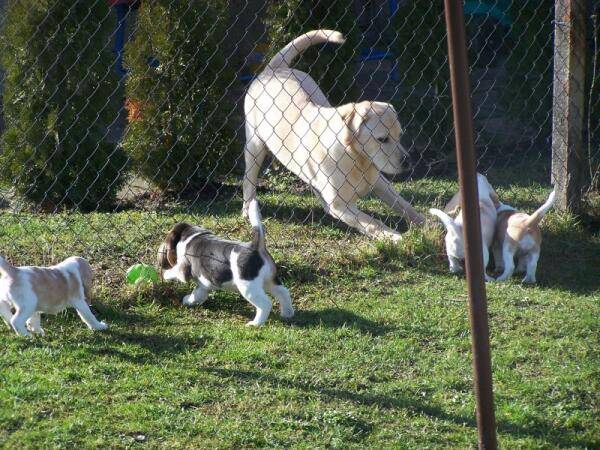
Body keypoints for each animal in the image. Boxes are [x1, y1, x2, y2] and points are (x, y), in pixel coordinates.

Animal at [156, 200, 294, 326]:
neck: (191, 236)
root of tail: (255, 246)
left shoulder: (183, 269)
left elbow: (175, 271)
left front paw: (165, 274)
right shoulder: (203, 284)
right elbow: (197, 294)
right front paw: (188, 300)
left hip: (248, 286)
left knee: (265, 303)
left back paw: (256, 323)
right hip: (269, 280)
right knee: (284, 293)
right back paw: (287, 314)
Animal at [241, 28, 424, 241]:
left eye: (399, 135)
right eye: (382, 139)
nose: (408, 162)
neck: (355, 157)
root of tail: (274, 70)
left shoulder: (380, 182)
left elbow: (403, 204)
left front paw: (429, 223)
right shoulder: (340, 206)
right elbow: (371, 222)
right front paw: (394, 236)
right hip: (254, 147)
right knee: (248, 180)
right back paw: (247, 209)